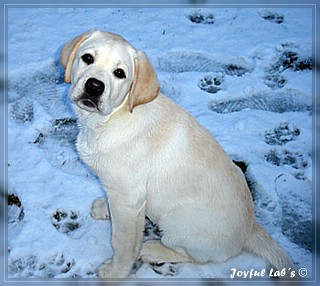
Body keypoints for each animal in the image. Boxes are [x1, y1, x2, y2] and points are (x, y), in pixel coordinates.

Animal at [60, 29, 296, 278]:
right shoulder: (123, 193)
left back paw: (154, 250)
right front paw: (105, 208)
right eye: (87, 58)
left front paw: (116, 272)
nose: (94, 86)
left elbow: (123, 242)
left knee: (194, 256)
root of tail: (251, 228)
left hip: (176, 221)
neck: (113, 117)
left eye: (120, 73)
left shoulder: (128, 198)